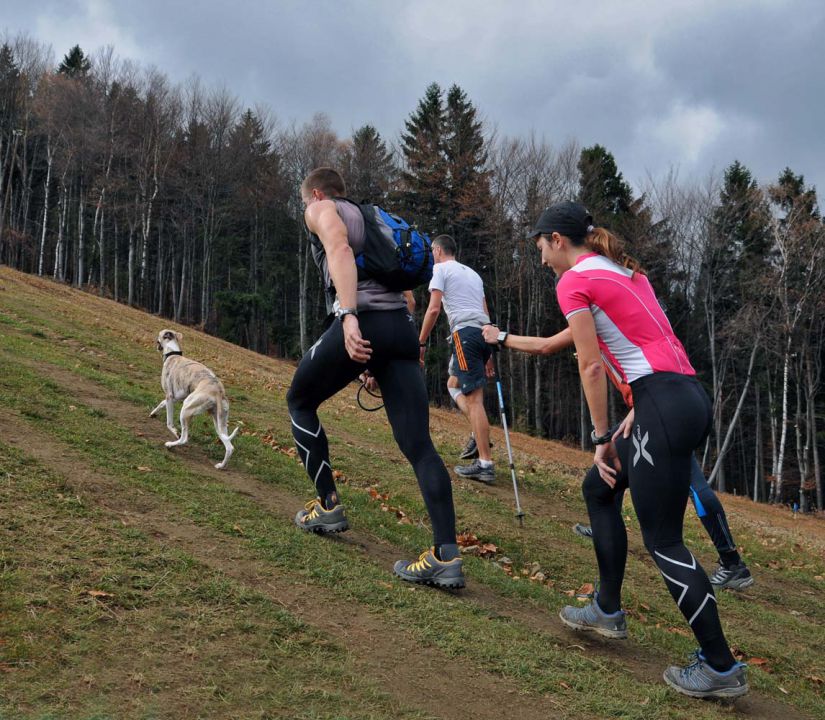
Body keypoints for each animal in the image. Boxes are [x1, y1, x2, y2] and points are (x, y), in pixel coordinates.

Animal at [150, 330, 238, 470]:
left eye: (160, 334)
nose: (155, 341)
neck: (173, 353)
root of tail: (218, 392)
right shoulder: (175, 397)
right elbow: (161, 403)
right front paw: (152, 413)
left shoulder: (170, 396)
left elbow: (169, 422)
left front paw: (175, 431)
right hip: (219, 421)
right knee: (230, 447)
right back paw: (220, 466)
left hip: (186, 409)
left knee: (184, 438)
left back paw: (170, 445)